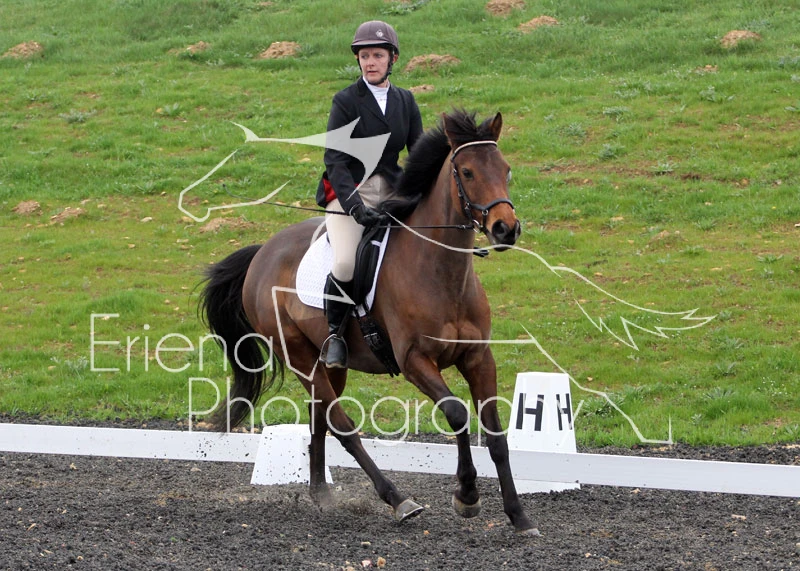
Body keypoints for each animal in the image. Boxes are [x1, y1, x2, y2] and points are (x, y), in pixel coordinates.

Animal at [199, 109, 538, 535]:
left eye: (505, 169)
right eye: (467, 171)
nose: (505, 229)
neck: (441, 271)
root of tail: (264, 253)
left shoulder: (478, 358)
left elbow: (495, 434)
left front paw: (519, 515)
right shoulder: (414, 361)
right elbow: (457, 413)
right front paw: (467, 496)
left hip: (329, 363)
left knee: (319, 419)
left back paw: (321, 495)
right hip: (298, 355)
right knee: (341, 424)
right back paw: (398, 499)